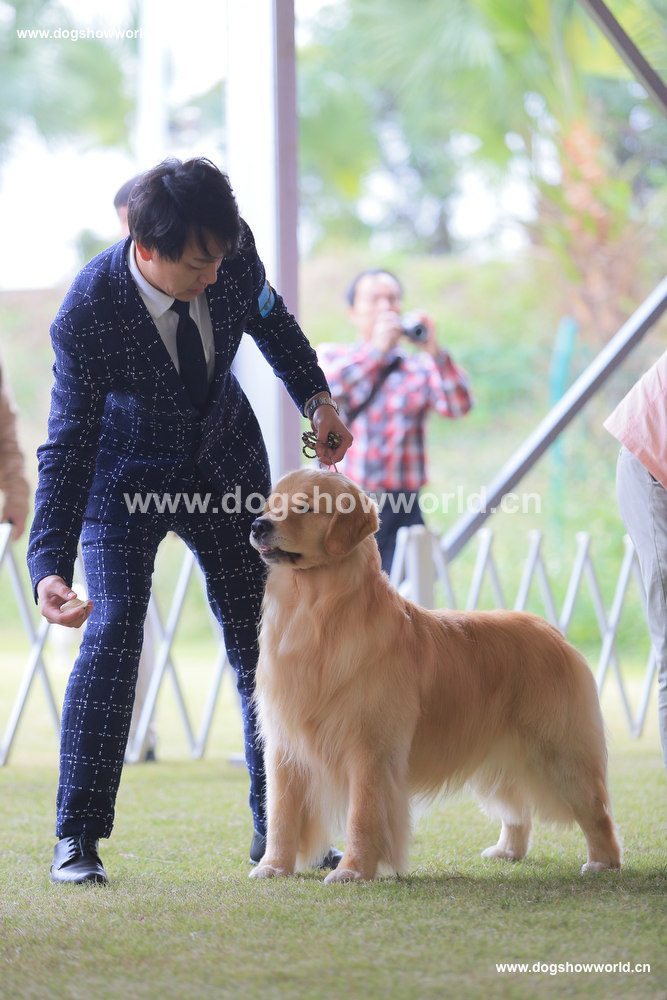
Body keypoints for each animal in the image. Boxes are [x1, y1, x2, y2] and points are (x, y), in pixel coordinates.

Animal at [248, 467, 621, 883]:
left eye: (305, 507)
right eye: (269, 505)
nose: (258, 525)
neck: (315, 613)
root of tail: (553, 631)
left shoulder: (370, 747)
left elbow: (362, 815)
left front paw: (353, 871)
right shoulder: (284, 745)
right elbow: (280, 814)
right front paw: (273, 866)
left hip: (558, 754)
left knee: (596, 811)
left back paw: (603, 861)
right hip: (499, 756)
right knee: (516, 808)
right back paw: (508, 850)